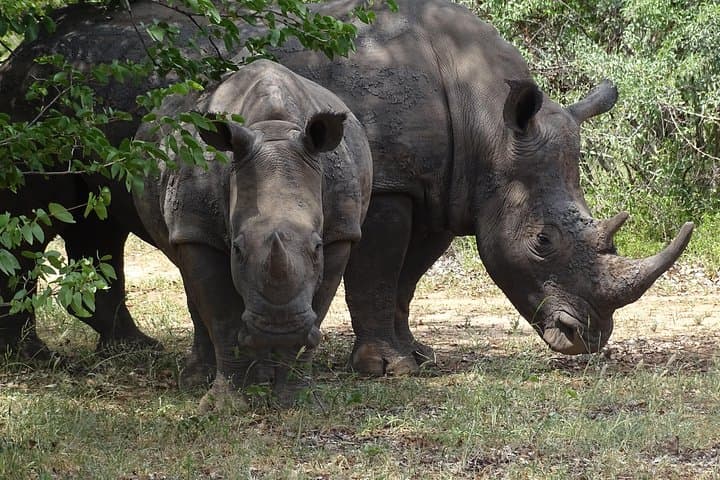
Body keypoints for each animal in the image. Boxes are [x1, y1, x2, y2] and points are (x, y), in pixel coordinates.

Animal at [133, 59, 371, 408]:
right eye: (237, 249)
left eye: (317, 247)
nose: (279, 328)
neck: (271, 129)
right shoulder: (197, 229)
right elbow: (222, 319)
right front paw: (225, 405)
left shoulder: (341, 231)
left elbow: (319, 305)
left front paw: (297, 401)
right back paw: (198, 381)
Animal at [217, 0, 692, 375]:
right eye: (542, 241)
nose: (586, 338)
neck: (488, 122)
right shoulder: (389, 182)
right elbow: (378, 273)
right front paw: (385, 368)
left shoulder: (443, 189)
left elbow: (406, 278)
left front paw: (417, 356)